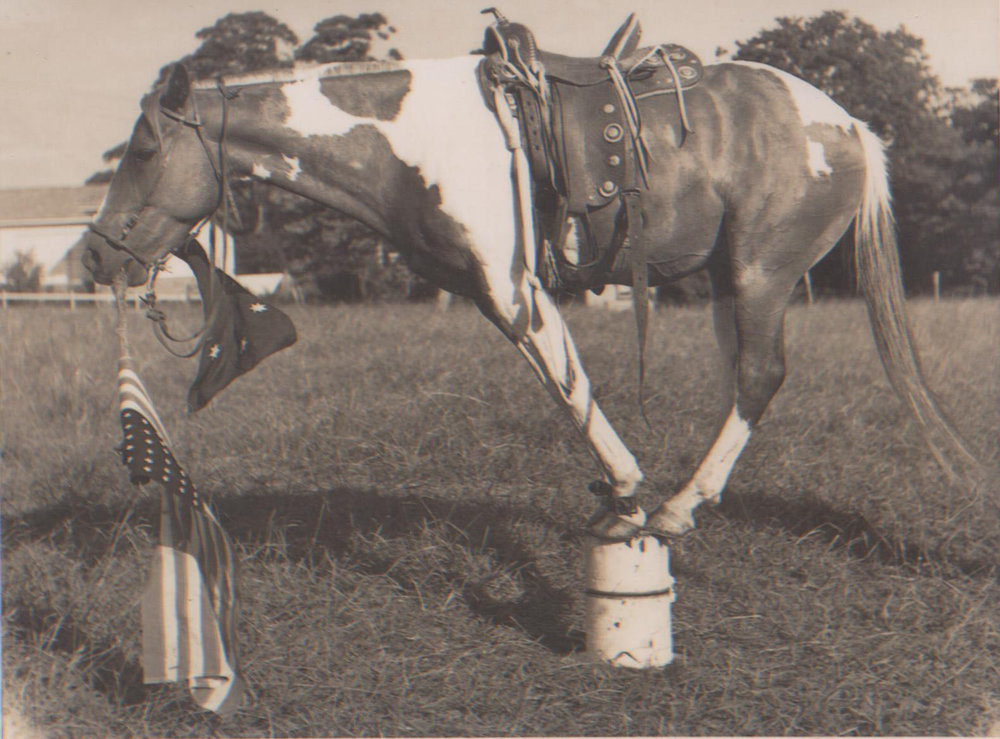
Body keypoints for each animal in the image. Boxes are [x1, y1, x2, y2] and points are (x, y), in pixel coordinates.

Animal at [80, 23, 978, 541]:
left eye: (146, 149)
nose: (94, 256)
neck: (413, 139)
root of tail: (852, 125)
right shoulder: (498, 296)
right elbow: (562, 384)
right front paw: (616, 496)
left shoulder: (511, 289)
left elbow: (569, 388)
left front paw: (627, 495)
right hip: (731, 281)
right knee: (740, 380)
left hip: (763, 271)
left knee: (759, 376)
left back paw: (678, 507)